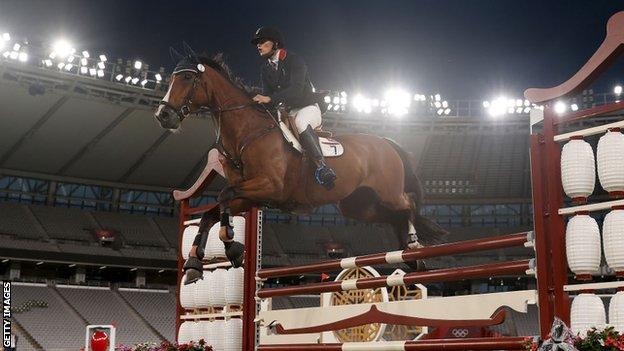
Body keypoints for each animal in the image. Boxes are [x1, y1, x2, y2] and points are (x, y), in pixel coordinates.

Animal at [156, 46, 448, 286]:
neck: (247, 132)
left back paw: (414, 245)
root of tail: (387, 142)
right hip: (359, 206)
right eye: (171, 79)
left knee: (408, 205)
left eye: (187, 78)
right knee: (394, 216)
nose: (163, 115)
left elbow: (223, 196)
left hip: (388, 193)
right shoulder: (249, 196)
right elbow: (210, 213)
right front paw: (194, 263)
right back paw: (411, 256)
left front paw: (232, 245)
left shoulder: (268, 187)